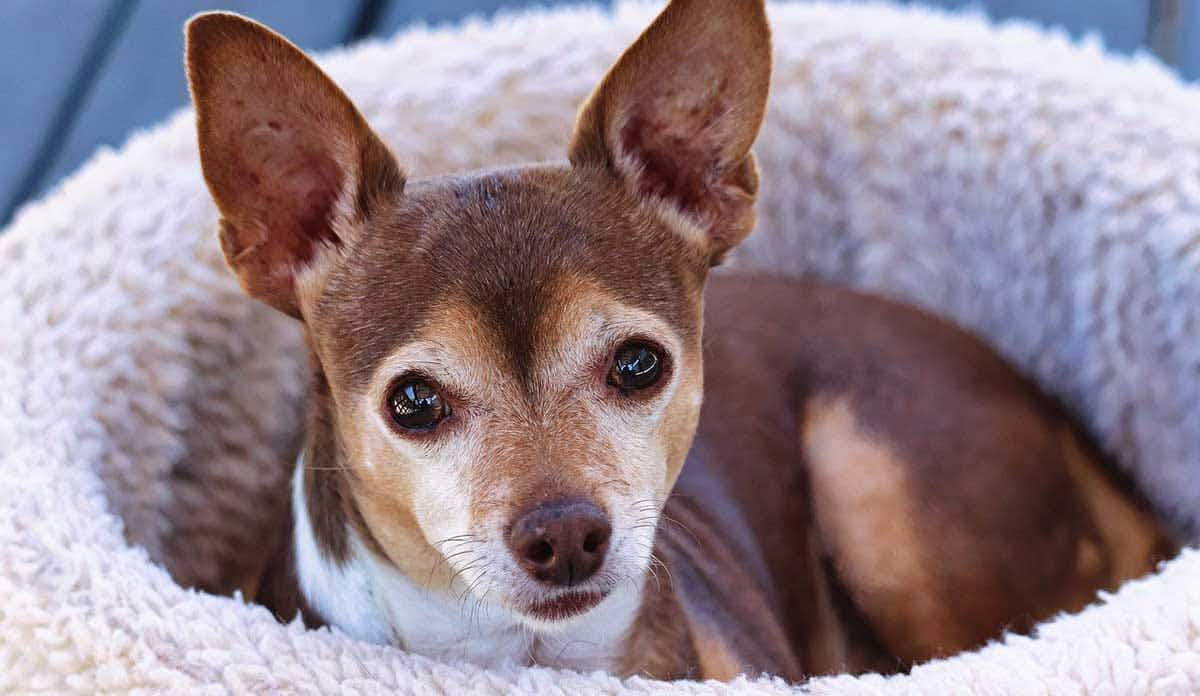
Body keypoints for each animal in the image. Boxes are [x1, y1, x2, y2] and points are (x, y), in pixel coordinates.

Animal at [184, 0, 1171, 681]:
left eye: (638, 364)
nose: (565, 532)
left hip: (875, 484)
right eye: (413, 403)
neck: (535, 663)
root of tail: (1054, 413)